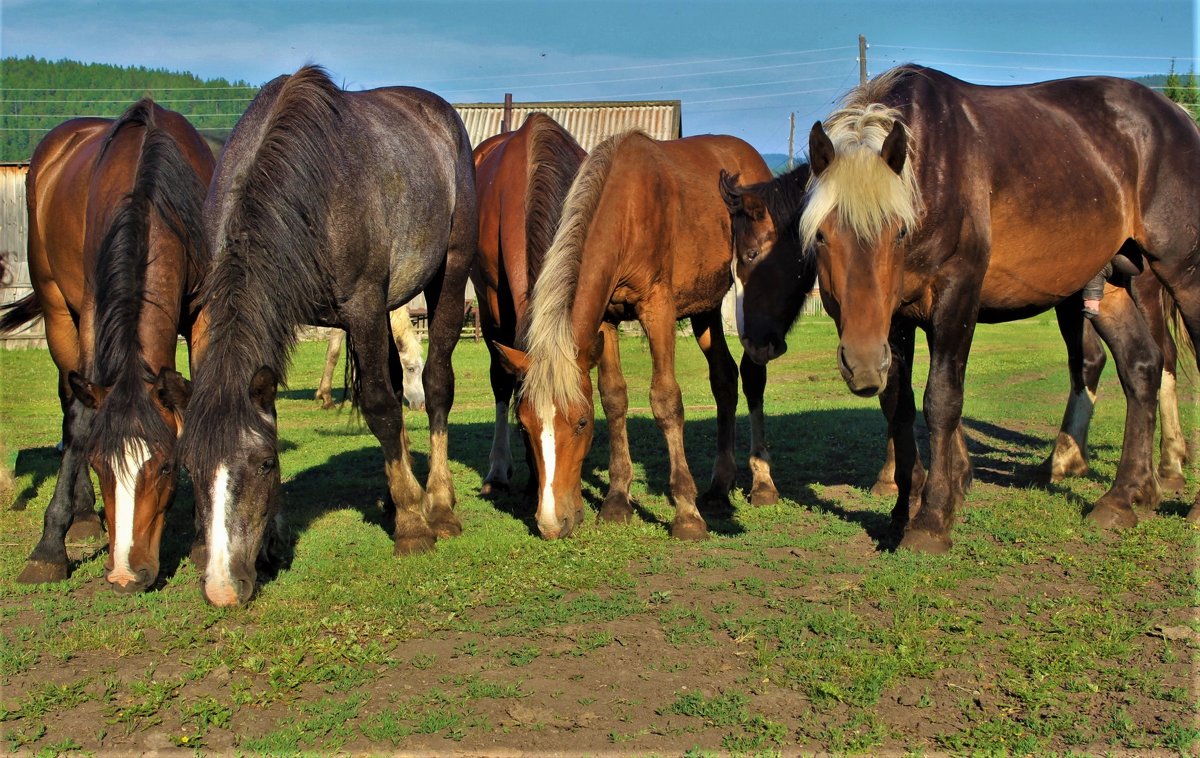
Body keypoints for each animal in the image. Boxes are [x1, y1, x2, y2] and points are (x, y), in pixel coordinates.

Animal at [0, 97, 213, 590]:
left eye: (167, 467)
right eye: (100, 466)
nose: (124, 575)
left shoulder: (204, 309)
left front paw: (203, 539)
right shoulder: (94, 311)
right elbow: (81, 423)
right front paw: (49, 548)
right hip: (59, 311)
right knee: (70, 399)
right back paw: (80, 517)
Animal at [178, 68, 477, 606]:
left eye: (263, 466)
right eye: (189, 467)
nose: (222, 589)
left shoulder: (363, 305)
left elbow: (380, 406)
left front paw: (412, 527)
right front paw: (272, 544)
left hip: (449, 271)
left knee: (436, 385)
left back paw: (437, 506)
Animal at [496, 133, 777, 542]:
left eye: (581, 423)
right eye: (524, 424)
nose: (550, 523)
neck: (625, 209)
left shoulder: (658, 307)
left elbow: (666, 400)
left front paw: (686, 514)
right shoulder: (608, 318)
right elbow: (614, 397)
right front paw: (616, 501)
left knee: (753, 375)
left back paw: (763, 484)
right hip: (705, 309)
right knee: (724, 379)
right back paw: (719, 487)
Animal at [744, 65, 1195, 551]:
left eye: (900, 231)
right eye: (822, 235)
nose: (862, 364)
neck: (930, 167)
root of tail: (1176, 113)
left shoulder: (957, 295)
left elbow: (942, 400)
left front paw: (931, 520)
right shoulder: (896, 320)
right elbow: (899, 407)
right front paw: (901, 513)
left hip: (1179, 275)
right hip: (1110, 284)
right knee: (1141, 366)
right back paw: (1123, 498)